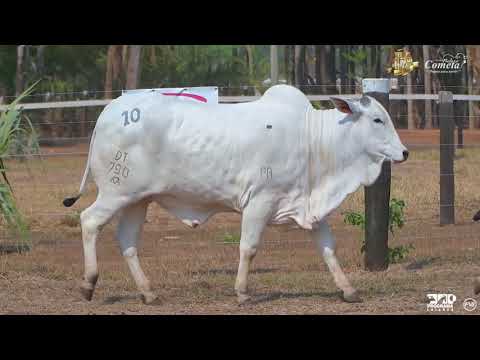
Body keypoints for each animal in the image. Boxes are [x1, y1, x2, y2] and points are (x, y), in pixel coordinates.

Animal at [63, 83, 408, 304]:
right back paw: (88, 283)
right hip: (116, 193)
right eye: (378, 119)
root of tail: (110, 111)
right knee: (89, 221)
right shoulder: (260, 201)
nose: (404, 152)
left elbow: (328, 250)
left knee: (128, 242)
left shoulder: (308, 206)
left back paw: (149, 293)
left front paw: (348, 290)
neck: (312, 140)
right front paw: (242, 292)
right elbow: (248, 248)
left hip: (138, 200)